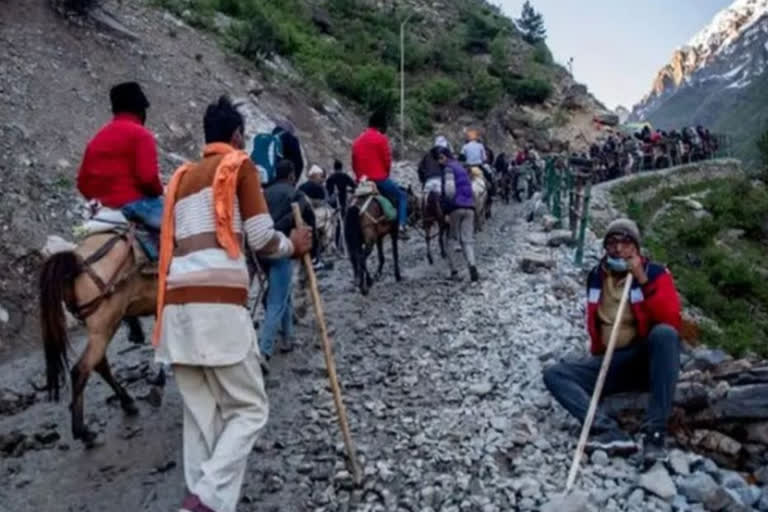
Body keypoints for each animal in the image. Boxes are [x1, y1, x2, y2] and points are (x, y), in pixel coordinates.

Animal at [39, 230, 156, 446]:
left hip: (99, 328)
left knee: (99, 364)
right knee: (81, 369)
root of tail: (77, 263)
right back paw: (83, 432)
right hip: (105, 325)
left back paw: (127, 402)